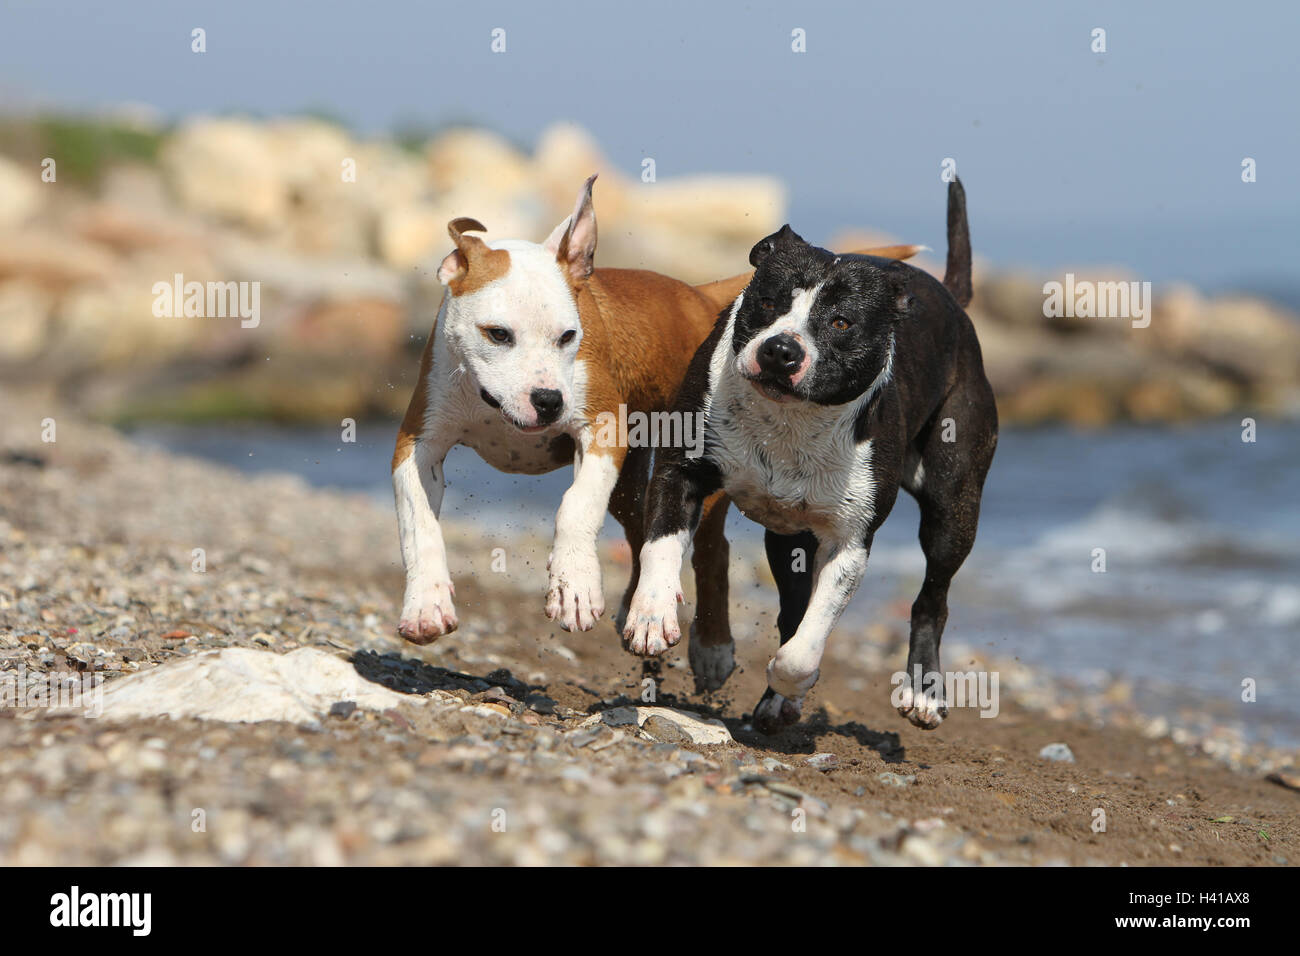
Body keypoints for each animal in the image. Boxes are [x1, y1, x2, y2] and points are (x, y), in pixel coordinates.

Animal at [624, 180, 998, 733]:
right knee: (793, 603)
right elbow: (662, 544)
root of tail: (953, 301)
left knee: (933, 595)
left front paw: (788, 682)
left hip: (953, 505)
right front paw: (651, 616)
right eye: (767, 300)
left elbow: (805, 646)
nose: (781, 349)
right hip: (790, 539)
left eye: (841, 322)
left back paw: (922, 693)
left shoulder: (849, 540)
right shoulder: (681, 470)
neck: (791, 421)